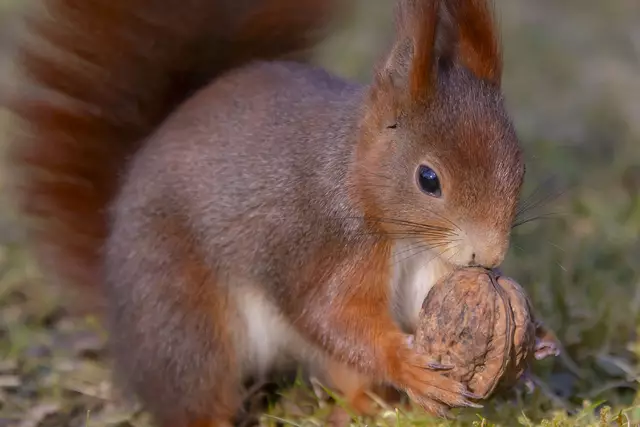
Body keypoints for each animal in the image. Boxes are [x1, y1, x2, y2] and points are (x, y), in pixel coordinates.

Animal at [6, 0, 525, 425]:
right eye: (428, 179)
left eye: (519, 164)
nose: (489, 256)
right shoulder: (323, 243)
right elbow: (329, 314)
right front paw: (410, 367)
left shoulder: (433, 268)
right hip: (180, 315)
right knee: (195, 387)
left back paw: (371, 407)